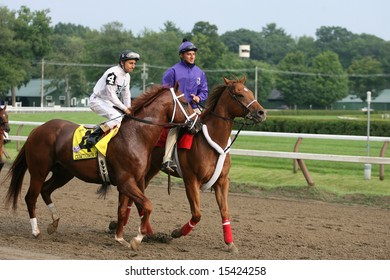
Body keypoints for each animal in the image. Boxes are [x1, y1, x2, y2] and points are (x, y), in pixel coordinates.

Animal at [3, 83, 198, 249]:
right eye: (185, 102)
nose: (197, 125)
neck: (136, 135)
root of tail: (37, 130)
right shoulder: (126, 181)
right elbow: (147, 205)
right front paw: (137, 239)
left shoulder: (131, 182)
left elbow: (124, 210)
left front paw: (120, 238)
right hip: (39, 170)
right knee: (31, 196)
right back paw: (36, 231)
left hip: (64, 173)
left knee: (45, 190)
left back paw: (54, 222)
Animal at [122, 76, 268, 252]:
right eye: (239, 94)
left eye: (251, 92)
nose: (261, 113)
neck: (211, 140)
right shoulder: (191, 180)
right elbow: (197, 214)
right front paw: (177, 232)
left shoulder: (222, 181)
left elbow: (225, 211)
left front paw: (230, 243)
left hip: (150, 170)